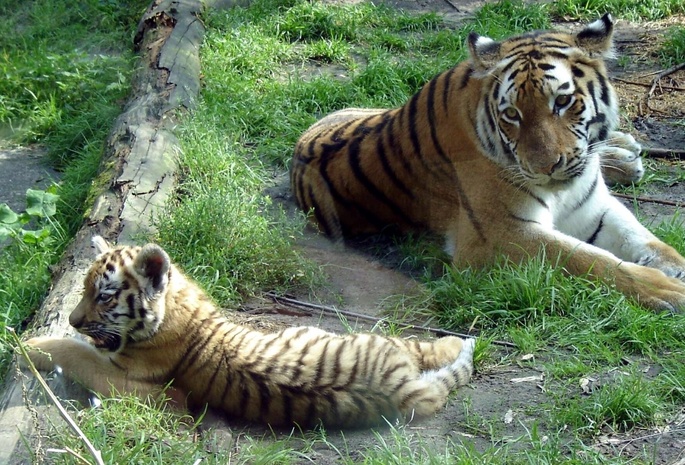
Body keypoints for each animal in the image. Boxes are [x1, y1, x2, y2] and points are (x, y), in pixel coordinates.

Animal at [25, 236, 476, 428]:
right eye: (83, 290)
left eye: (102, 296)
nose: (73, 320)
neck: (177, 304)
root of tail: (404, 390)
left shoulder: (134, 379)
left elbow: (79, 353)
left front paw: (29, 345)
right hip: (370, 342)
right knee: (422, 350)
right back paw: (459, 342)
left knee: (421, 348)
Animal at [292, 15, 684, 312]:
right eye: (511, 114)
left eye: (562, 101)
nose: (545, 167)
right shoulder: (499, 234)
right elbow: (587, 259)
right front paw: (666, 290)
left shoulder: (593, 207)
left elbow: (645, 239)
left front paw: (674, 265)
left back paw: (623, 152)